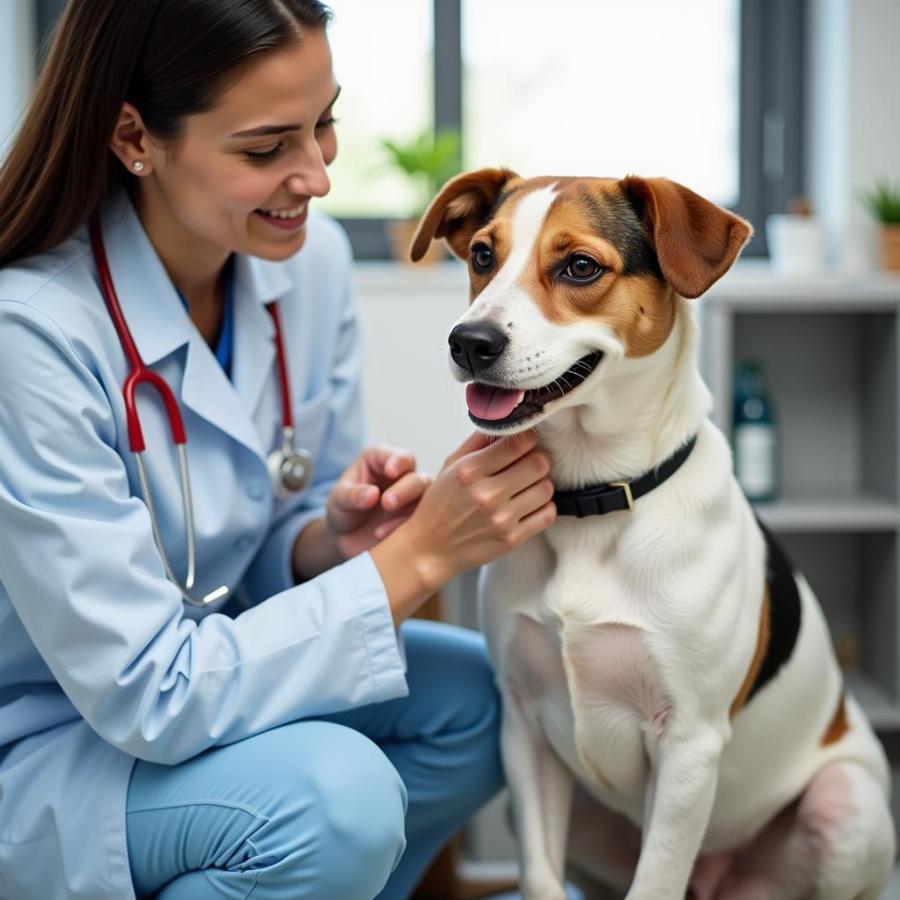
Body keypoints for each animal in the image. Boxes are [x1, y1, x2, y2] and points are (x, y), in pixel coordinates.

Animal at [412, 171, 896, 900]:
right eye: (481, 255)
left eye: (580, 267)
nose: (468, 341)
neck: (593, 501)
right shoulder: (522, 728)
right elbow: (541, 876)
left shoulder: (688, 746)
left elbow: (657, 878)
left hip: (845, 809)